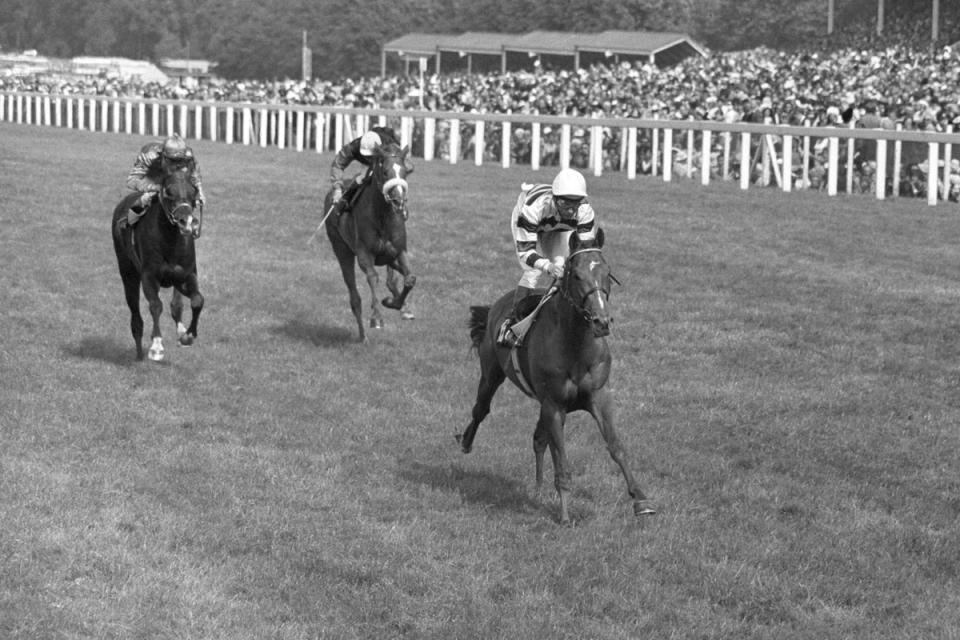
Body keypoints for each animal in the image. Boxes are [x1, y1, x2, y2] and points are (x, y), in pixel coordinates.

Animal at [111, 169, 203, 360]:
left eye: (194, 192)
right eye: (168, 192)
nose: (186, 221)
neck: (170, 241)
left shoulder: (184, 276)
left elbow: (197, 300)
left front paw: (188, 336)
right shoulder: (149, 276)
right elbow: (155, 305)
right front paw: (157, 346)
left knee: (176, 306)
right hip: (127, 271)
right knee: (135, 313)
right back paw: (139, 353)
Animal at [324, 140, 414, 340]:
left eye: (405, 171)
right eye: (386, 172)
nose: (399, 200)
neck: (383, 217)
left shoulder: (399, 251)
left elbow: (409, 279)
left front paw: (395, 303)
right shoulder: (364, 254)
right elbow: (373, 277)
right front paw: (376, 318)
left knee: (393, 280)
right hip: (341, 250)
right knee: (354, 296)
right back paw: (362, 336)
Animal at [456, 232, 652, 524]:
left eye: (607, 273)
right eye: (577, 275)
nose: (601, 322)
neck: (575, 347)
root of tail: (496, 306)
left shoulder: (599, 396)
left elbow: (616, 447)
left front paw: (640, 500)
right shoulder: (554, 405)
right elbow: (562, 463)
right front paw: (565, 514)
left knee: (538, 438)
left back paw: (538, 488)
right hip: (491, 373)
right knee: (481, 409)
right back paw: (466, 442)